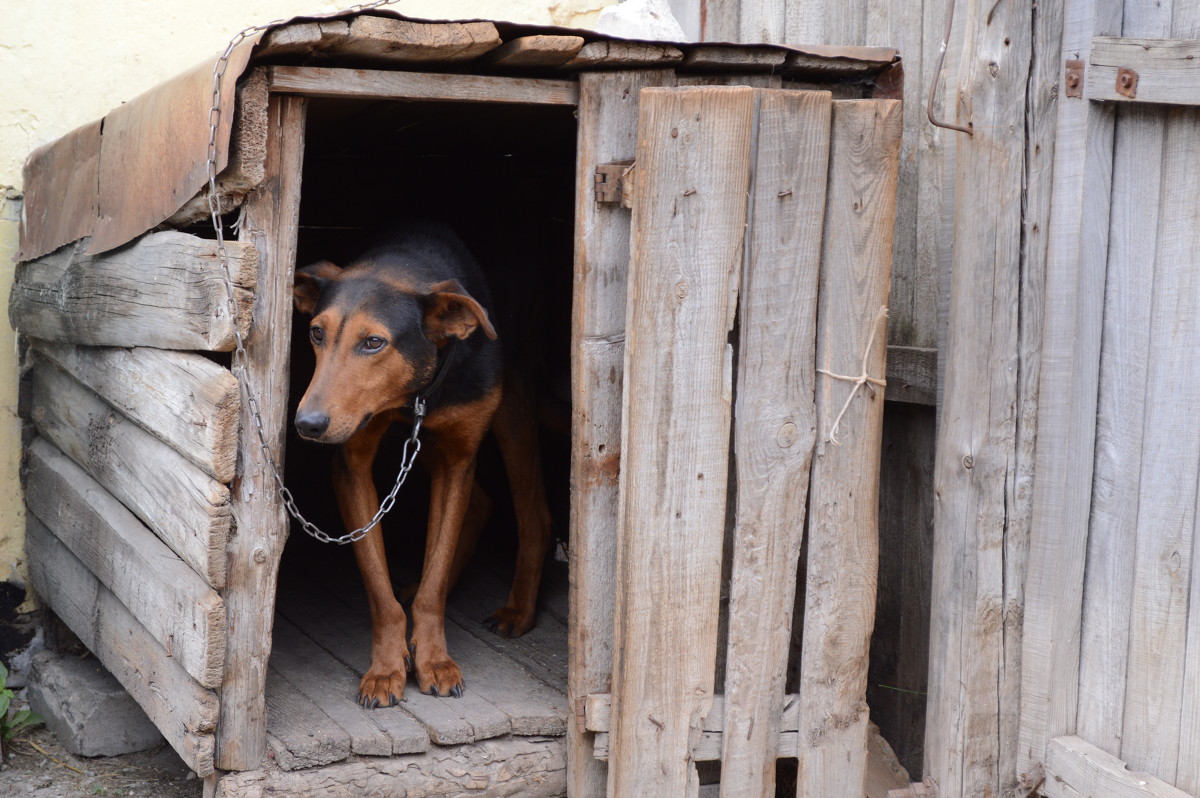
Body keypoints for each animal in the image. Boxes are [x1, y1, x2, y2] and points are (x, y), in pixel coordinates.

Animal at [290, 222, 552, 705]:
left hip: (512, 405)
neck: (408, 397)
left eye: (373, 342)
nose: (307, 425)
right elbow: (379, 587)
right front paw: (387, 667)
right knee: (483, 506)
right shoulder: (352, 466)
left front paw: (434, 659)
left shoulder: (459, 458)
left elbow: (435, 578)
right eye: (316, 333)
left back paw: (518, 610)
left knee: (534, 516)